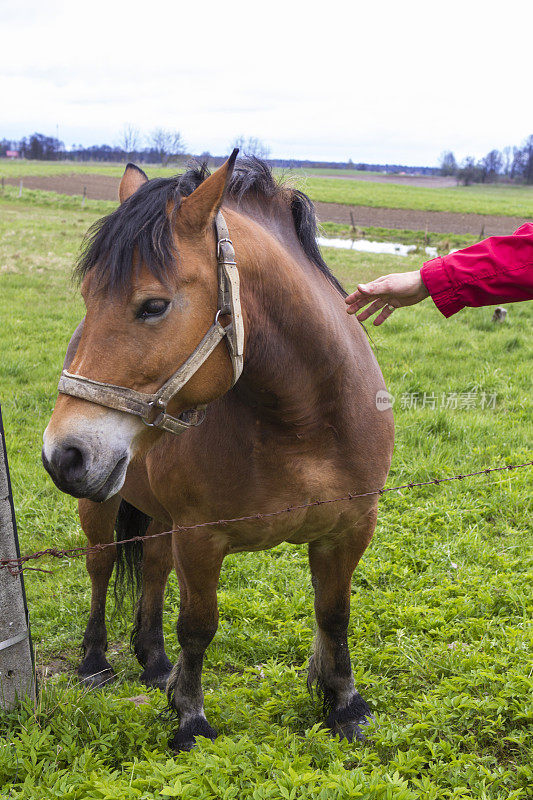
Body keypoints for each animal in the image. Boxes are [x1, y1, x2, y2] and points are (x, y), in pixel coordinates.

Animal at [41, 155, 392, 752]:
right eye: (87, 296)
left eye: (153, 306)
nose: (61, 454)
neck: (303, 422)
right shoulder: (201, 538)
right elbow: (199, 626)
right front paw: (189, 719)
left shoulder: (349, 530)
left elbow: (334, 614)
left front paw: (345, 705)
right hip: (103, 505)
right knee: (101, 564)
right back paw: (95, 663)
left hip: (158, 515)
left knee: (153, 567)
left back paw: (154, 662)